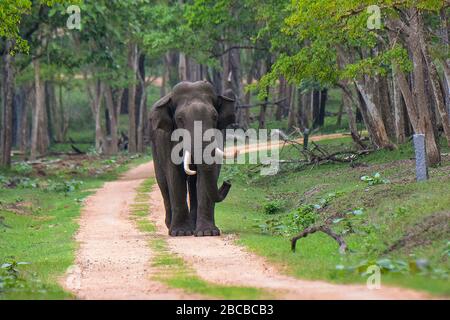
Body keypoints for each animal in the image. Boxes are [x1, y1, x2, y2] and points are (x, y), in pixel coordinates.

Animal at [149, 81, 237, 236]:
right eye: (180, 119)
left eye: (215, 117)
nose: (227, 182)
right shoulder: (167, 137)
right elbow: (174, 174)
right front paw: (180, 233)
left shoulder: (220, 134)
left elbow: (210, 171)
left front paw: (208, 233)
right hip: (154, 146)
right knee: (163, 182)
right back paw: (170, 225)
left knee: (193, 183)